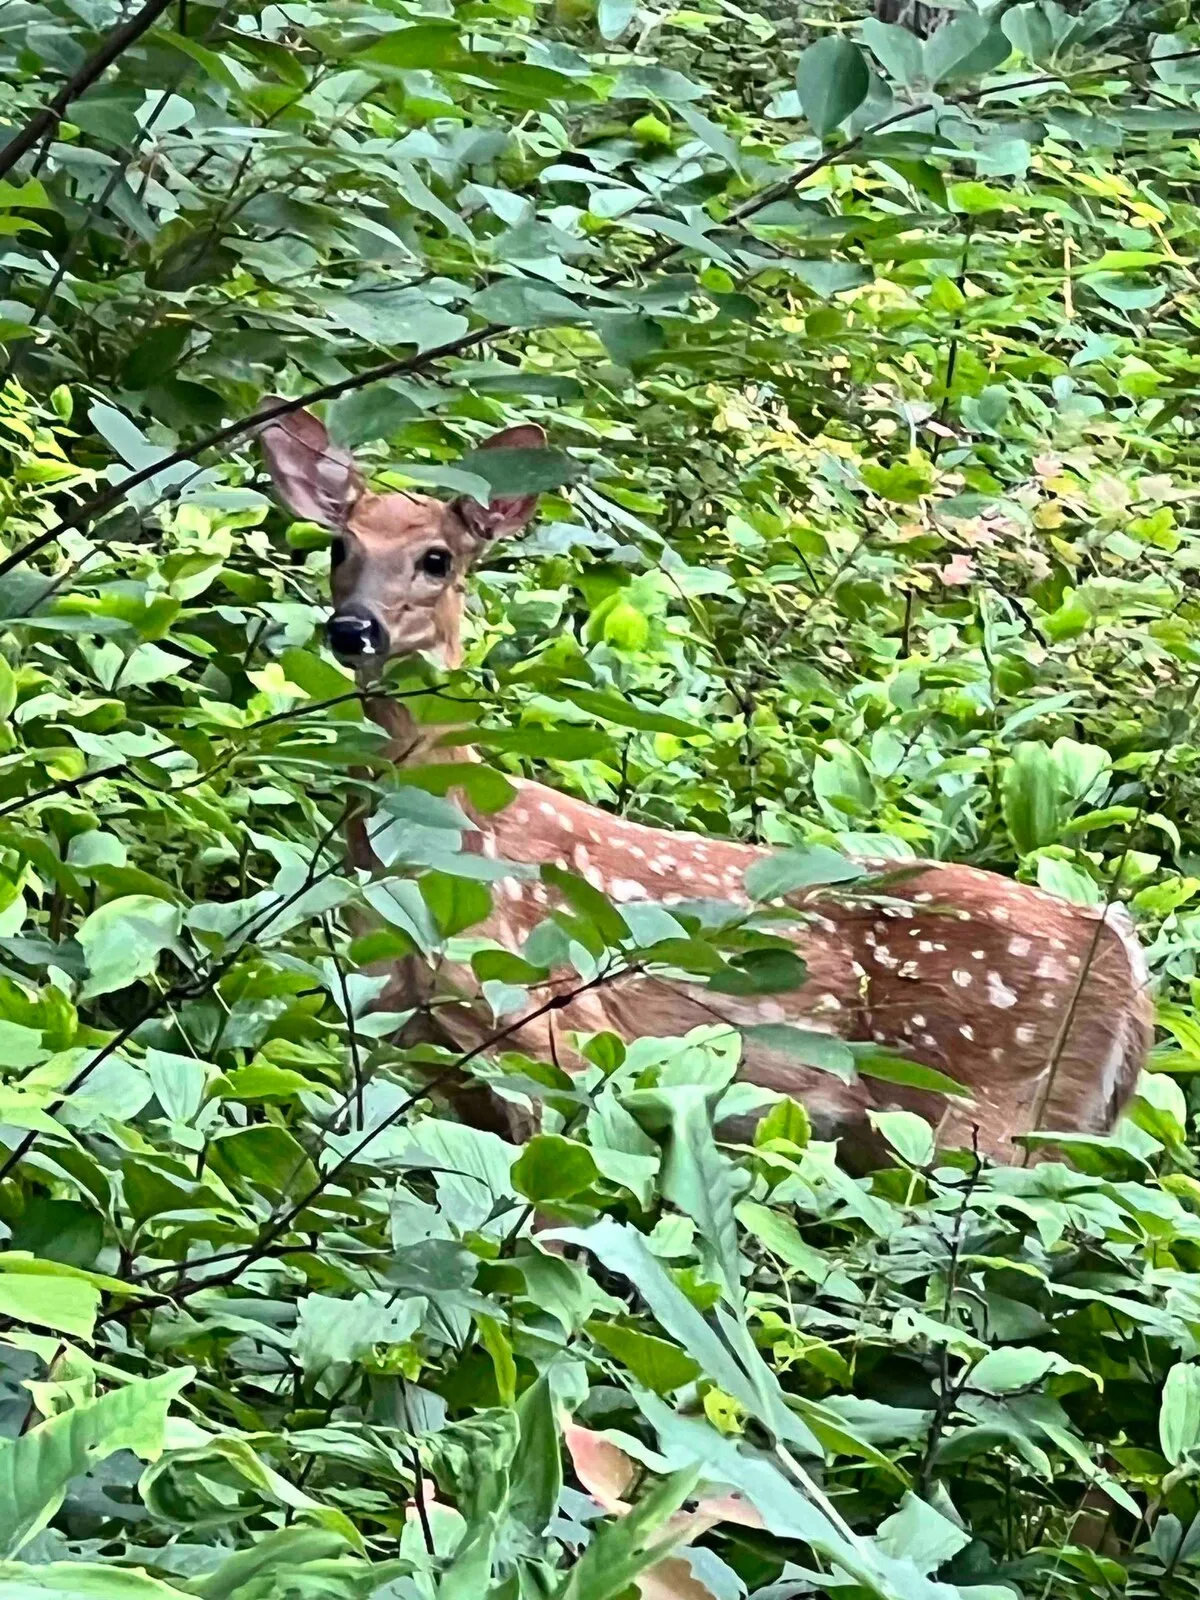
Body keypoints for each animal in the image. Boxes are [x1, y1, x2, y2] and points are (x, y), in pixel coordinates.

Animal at [258, 403, 1155, 1168]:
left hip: (983, 1107)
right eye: (341, 547)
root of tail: (1122, 958)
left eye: (437, 560)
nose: (353, 628)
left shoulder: (550, 1028)